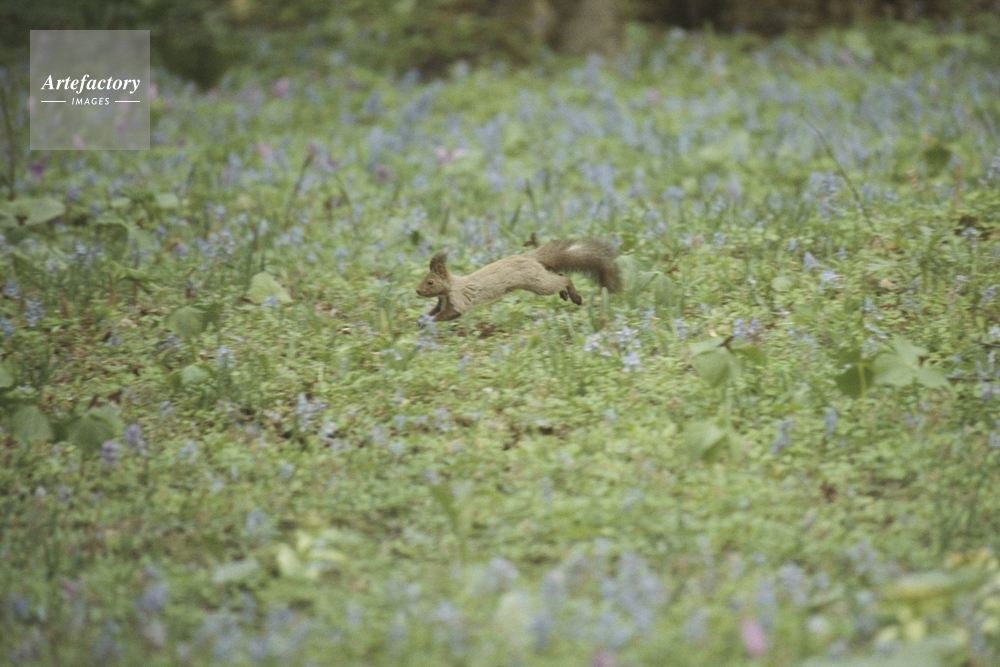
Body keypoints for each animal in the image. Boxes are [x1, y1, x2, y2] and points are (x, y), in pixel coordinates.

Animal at [415, 239, 621, 321]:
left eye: (430, 282)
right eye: (424, 278)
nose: (417, 291)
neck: (450, 287)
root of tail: (530, 257)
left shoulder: (459, 298)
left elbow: (452, 313)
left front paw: (430, 321)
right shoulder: (442, 301)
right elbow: (434, 311)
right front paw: (422, 319)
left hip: (537, 282)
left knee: (564, 279)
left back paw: (574, 296)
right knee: (559, 277)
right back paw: (564, 294)